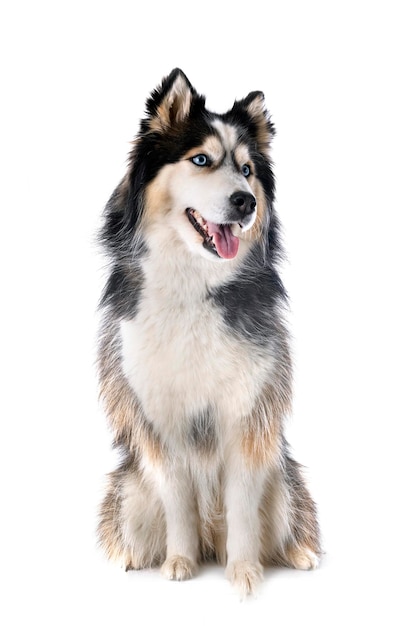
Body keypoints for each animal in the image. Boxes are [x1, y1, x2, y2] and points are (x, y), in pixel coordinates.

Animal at [96, 69, 318, 596]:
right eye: (202, 160)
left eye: (247, 170)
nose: (246, 202)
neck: (193, 284)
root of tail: (210, 538)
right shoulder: (160, 421)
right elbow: (178, 499)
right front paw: (180, 561)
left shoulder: (248, 418)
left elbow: (241, 507)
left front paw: (244, 571)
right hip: (131, 485)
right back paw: (132, 557)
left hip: (282, 477)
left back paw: (298, 554)